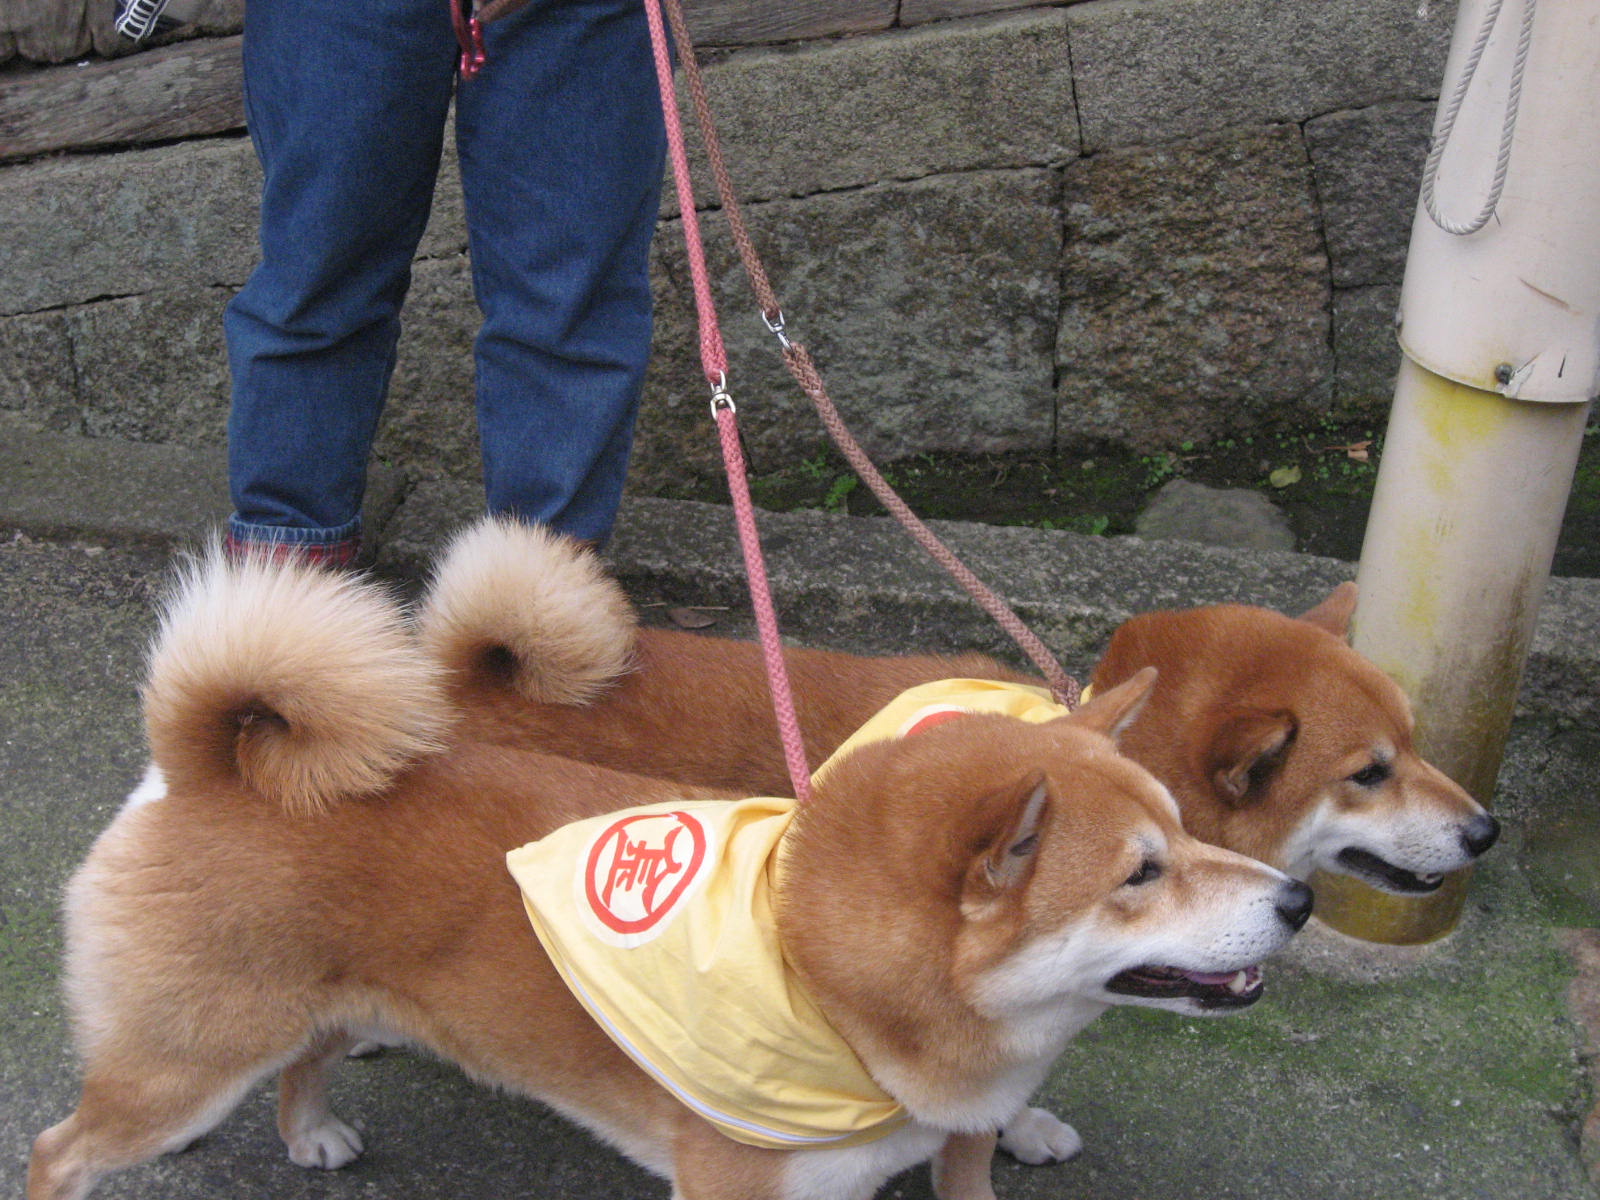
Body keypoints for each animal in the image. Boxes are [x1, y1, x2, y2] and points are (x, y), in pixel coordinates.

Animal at [29, 550, 1312, 1200]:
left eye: (1186, 836)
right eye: (1139, 874)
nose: (1297, 903)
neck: (810, 962)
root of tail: (211, 770)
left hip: (321, 997)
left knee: (307, 1054)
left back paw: (310, 1134)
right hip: (184, 1066)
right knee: (60, 1151)